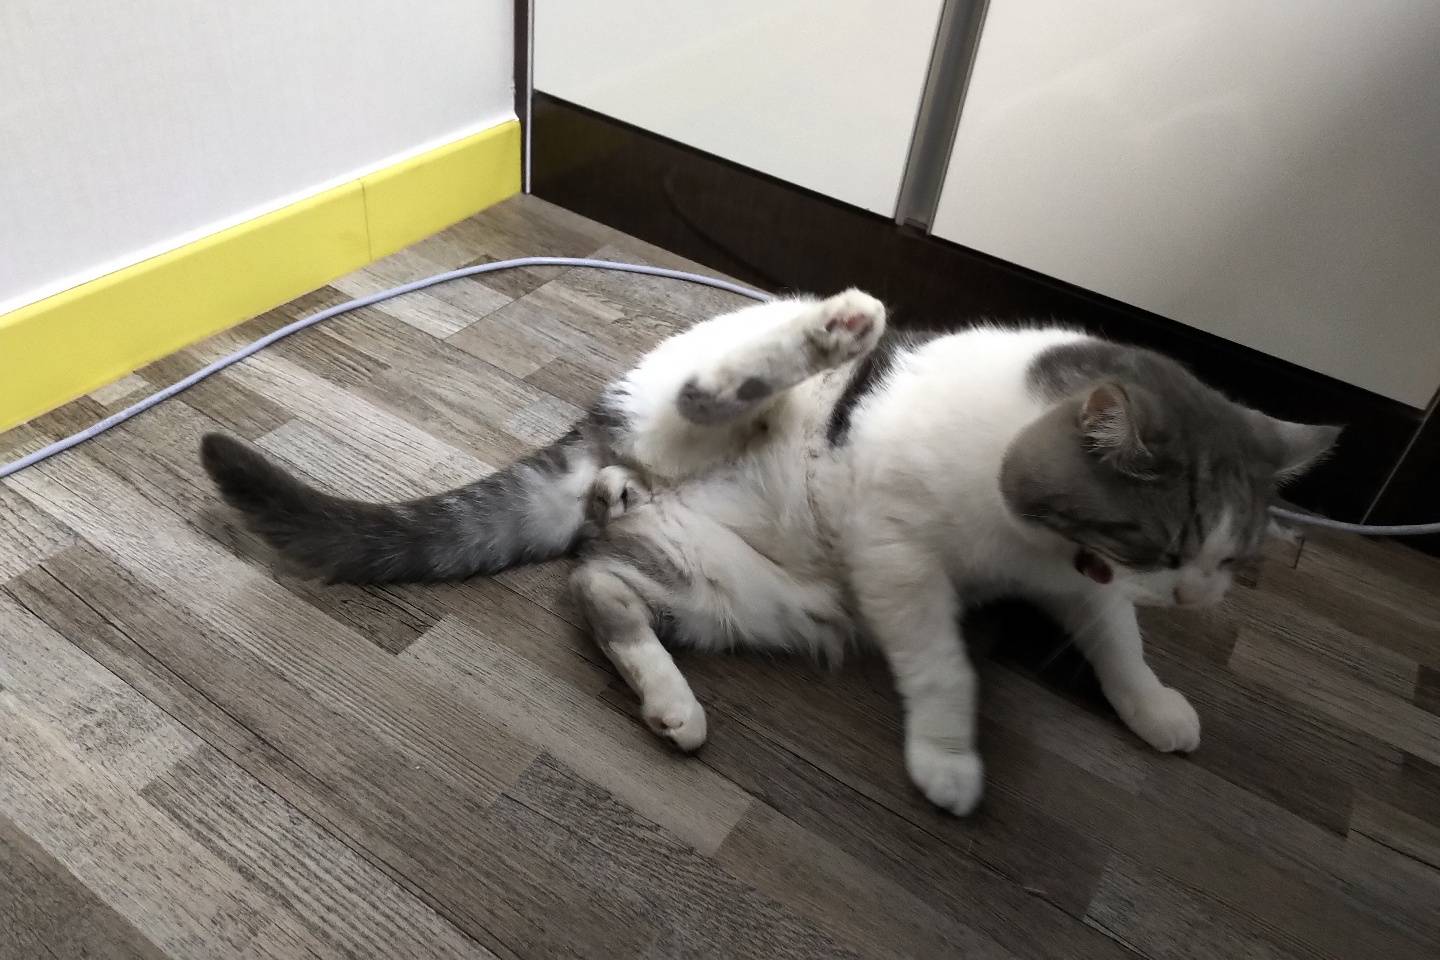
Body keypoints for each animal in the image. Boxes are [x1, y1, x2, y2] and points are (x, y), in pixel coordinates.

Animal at [199, 288, 1339, 815]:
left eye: (1231, 559)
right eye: (1173, 539)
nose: (1195, 597)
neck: (1020, 535)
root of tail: (607, 439)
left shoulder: (1077, 578)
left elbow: (1114, 640)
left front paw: (1153, 705)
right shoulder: (897, 556)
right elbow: (942, 664)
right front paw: (948, 755)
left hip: (744, 588)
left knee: (601, 579)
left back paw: (666, 684)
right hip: (708, 415)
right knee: (705, 398)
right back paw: (827, 334)